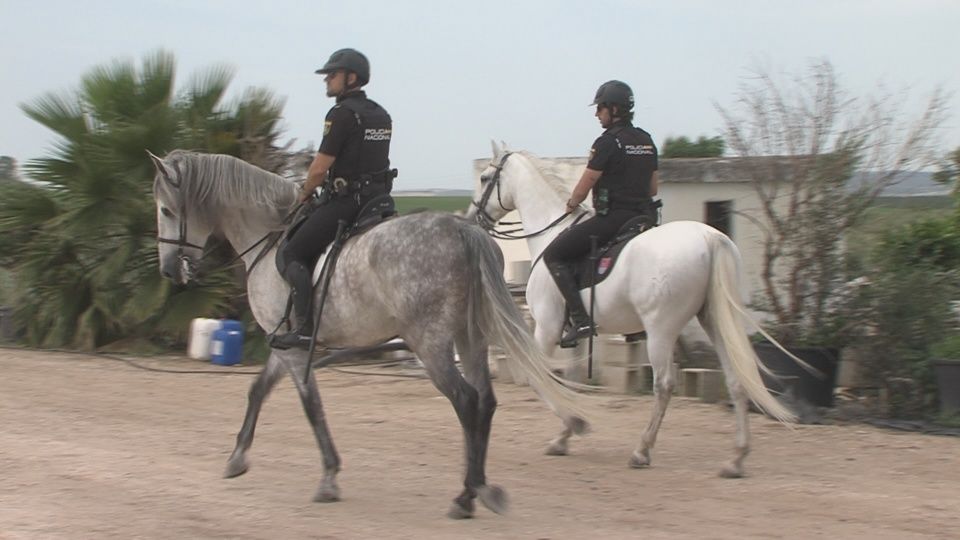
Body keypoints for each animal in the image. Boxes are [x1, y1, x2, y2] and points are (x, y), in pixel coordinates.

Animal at [148, 149, 590, 518]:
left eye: (166, 210)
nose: (169, 270)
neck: (270, 237)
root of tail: (463, 231)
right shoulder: (283, 343)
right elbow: (257, 391)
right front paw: (237, 458)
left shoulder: (294, 350)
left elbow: (311, 407)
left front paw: (328, 477)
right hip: (470, 338)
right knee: (485, 400)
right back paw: (478, 488)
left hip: (430, 343)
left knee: (465, 400)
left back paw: (467, 494)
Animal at [467, 142, 796, 478]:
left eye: (484, 178)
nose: (472, 218)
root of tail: (710, 237)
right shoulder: (574, 333)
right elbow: (570, 378)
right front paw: (564, 436)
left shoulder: (546, 327)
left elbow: (540, 378)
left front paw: (575, 423)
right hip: (714, 321)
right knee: (736, 380)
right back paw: (736, 459)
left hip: (660, 328)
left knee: (664, 385)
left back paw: (642, 451)